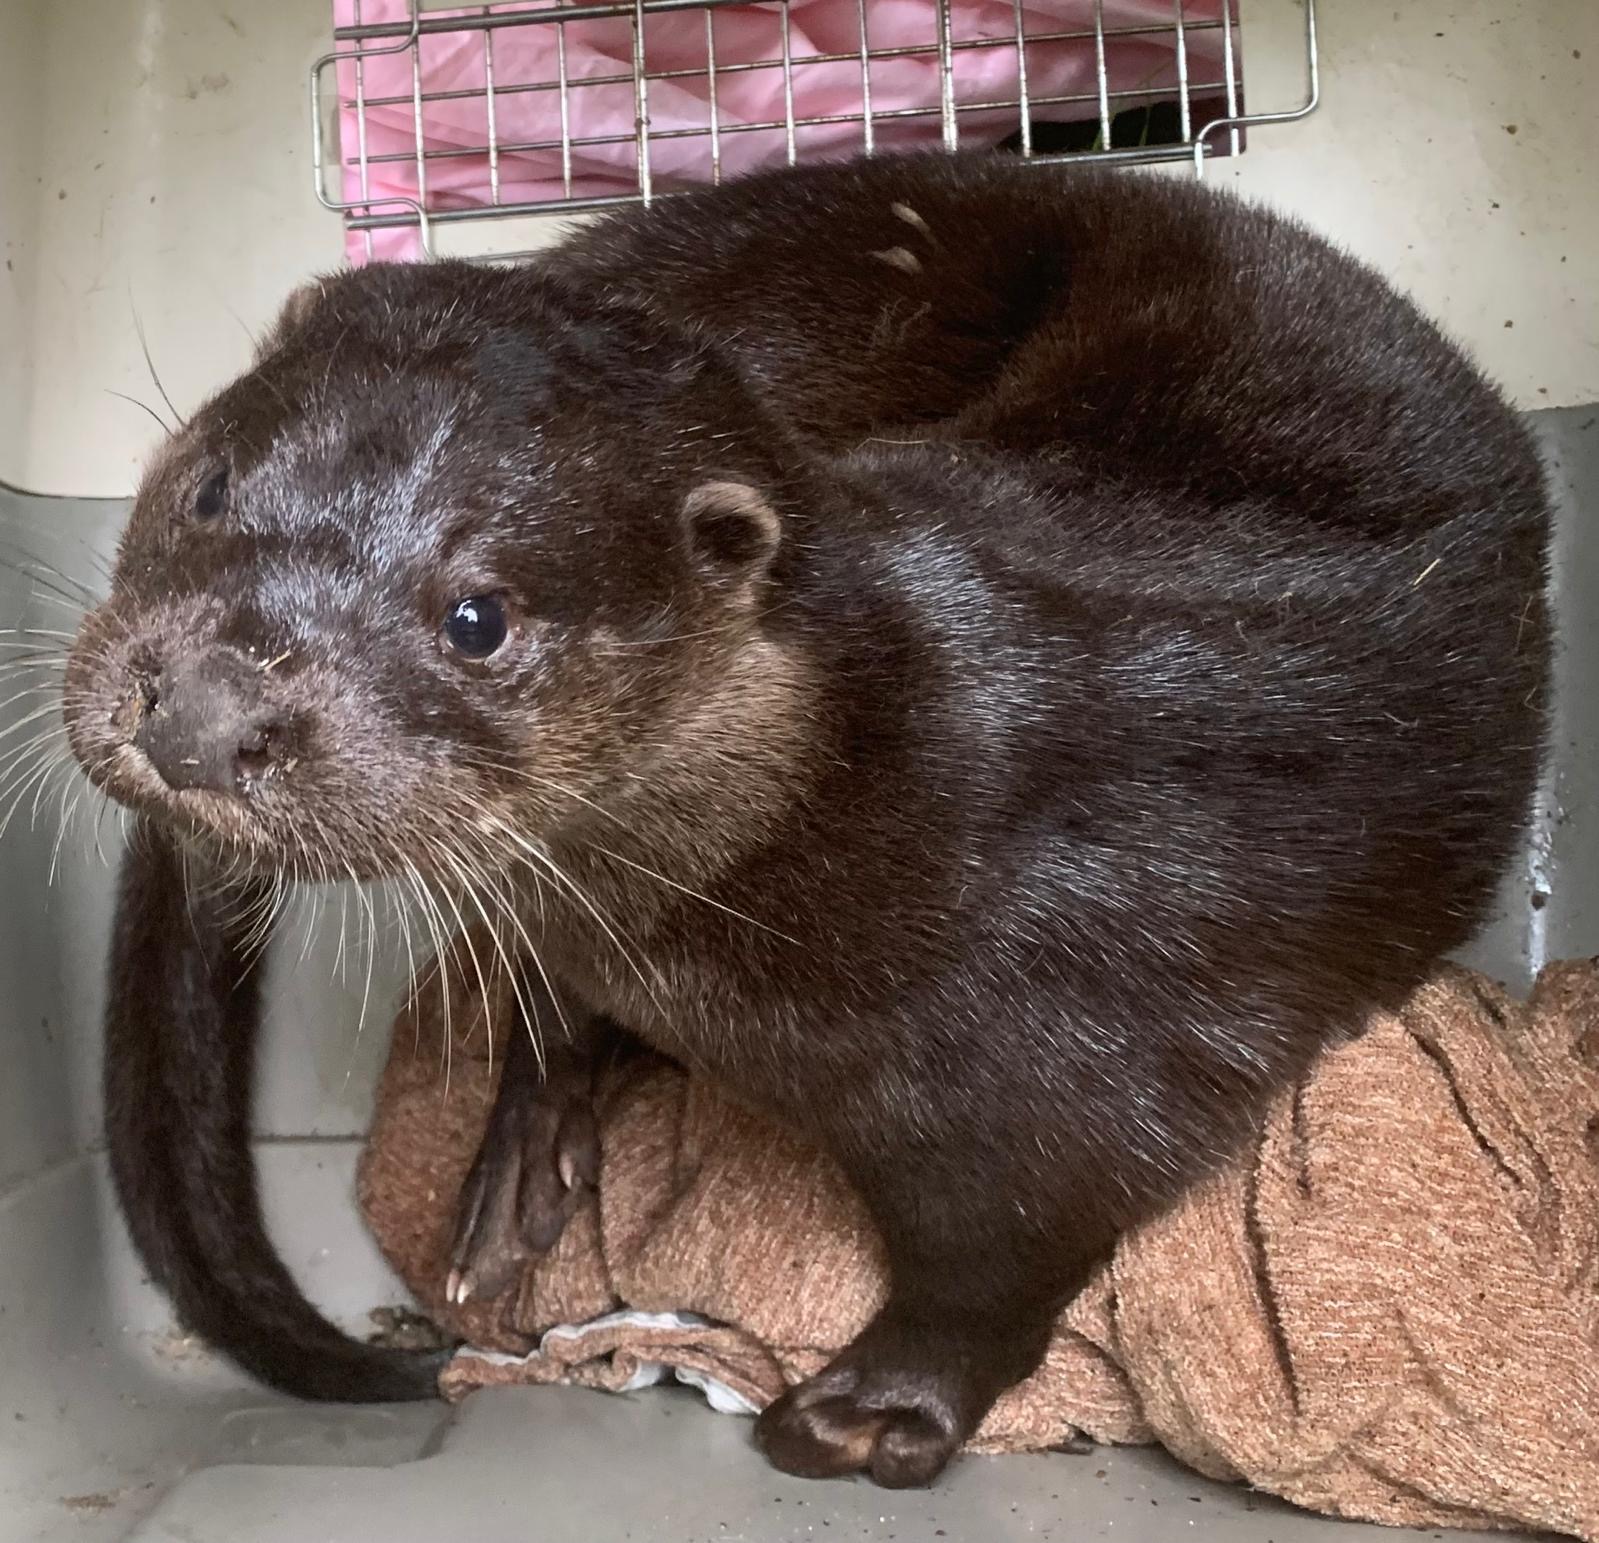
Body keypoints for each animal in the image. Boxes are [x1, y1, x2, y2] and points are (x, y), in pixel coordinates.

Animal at [65, 153, 1547, 1483]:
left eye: (477, 617)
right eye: (207, 486)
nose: (201, 711)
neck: (884, 805)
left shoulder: (1096, 1055)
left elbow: (1008, 1249)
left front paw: (873, 1410)